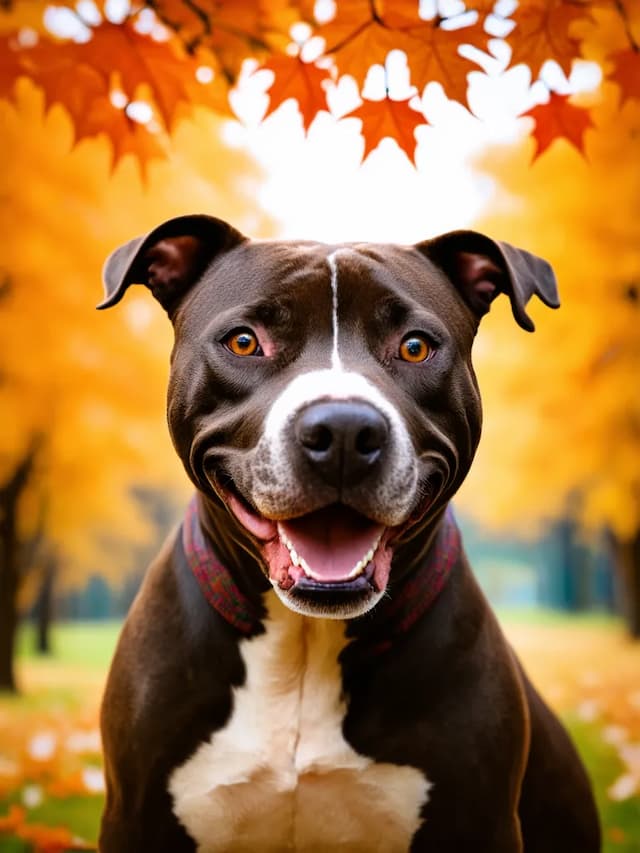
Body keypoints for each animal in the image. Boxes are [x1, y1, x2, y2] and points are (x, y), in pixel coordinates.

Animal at [96, 218, 600, 852]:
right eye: (245, 342)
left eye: (415, 346)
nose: (342, 430)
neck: (305, 643)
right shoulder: (136, 818)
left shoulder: (478, 821)